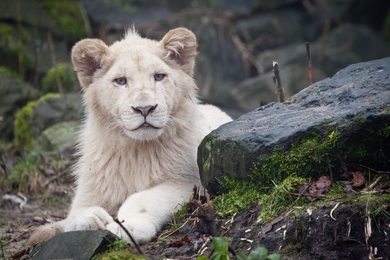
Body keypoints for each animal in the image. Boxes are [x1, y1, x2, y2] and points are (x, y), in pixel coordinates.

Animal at [29, 27, 233, 245]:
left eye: (159, 76)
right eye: (121, 81)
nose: (145, 108)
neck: (136, 150)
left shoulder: (188, 182)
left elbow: (144, 198)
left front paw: (129, 225)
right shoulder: (92, 185)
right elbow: (75, 213)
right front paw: (90, 217)